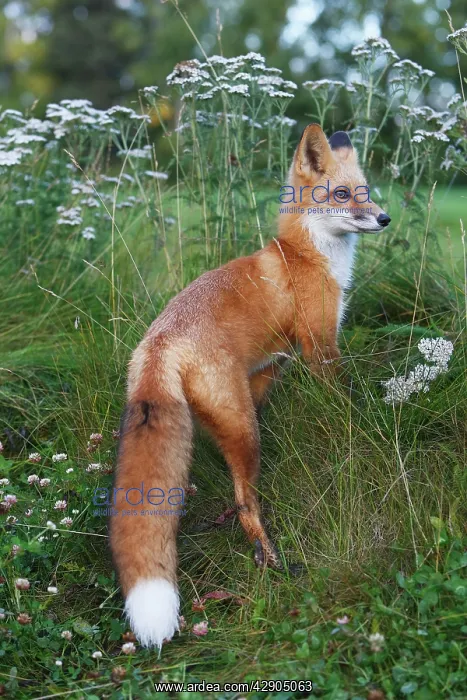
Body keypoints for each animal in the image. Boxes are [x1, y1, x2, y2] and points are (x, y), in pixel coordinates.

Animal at [110, 123, 391, 649]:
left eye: (366, 191)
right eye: (342, 195)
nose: (384, 218)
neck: (307, 255)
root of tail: (158, 342)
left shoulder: (268, 367)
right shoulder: (320, 345)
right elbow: (342, 399)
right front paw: (357, 424)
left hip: (232, 418)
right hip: (243, 431)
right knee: (245, 503)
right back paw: (271, 560)